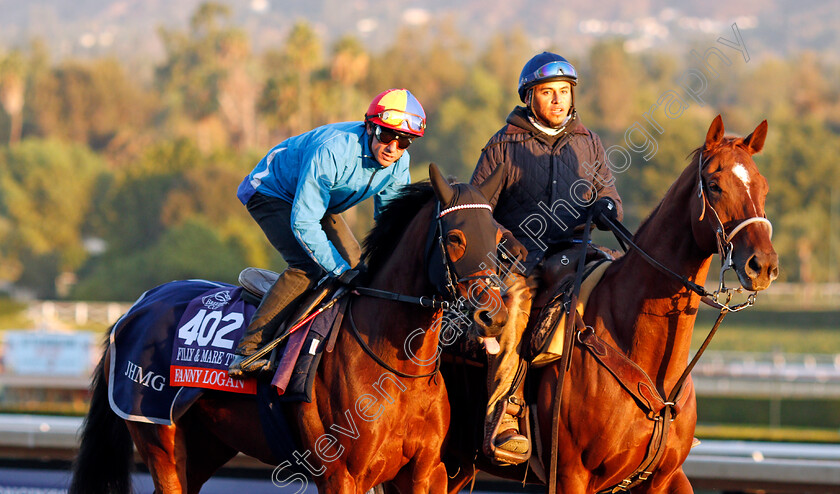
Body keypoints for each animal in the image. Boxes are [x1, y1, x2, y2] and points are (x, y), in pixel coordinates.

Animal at [69, 163, 508, 494]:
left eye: (499, 236)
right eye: (456, 237)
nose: (495, 315)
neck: (395, 369)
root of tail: (135, 309)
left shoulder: (423, 471)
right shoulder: (341, 474)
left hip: (205, 443)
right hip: (158, 435)